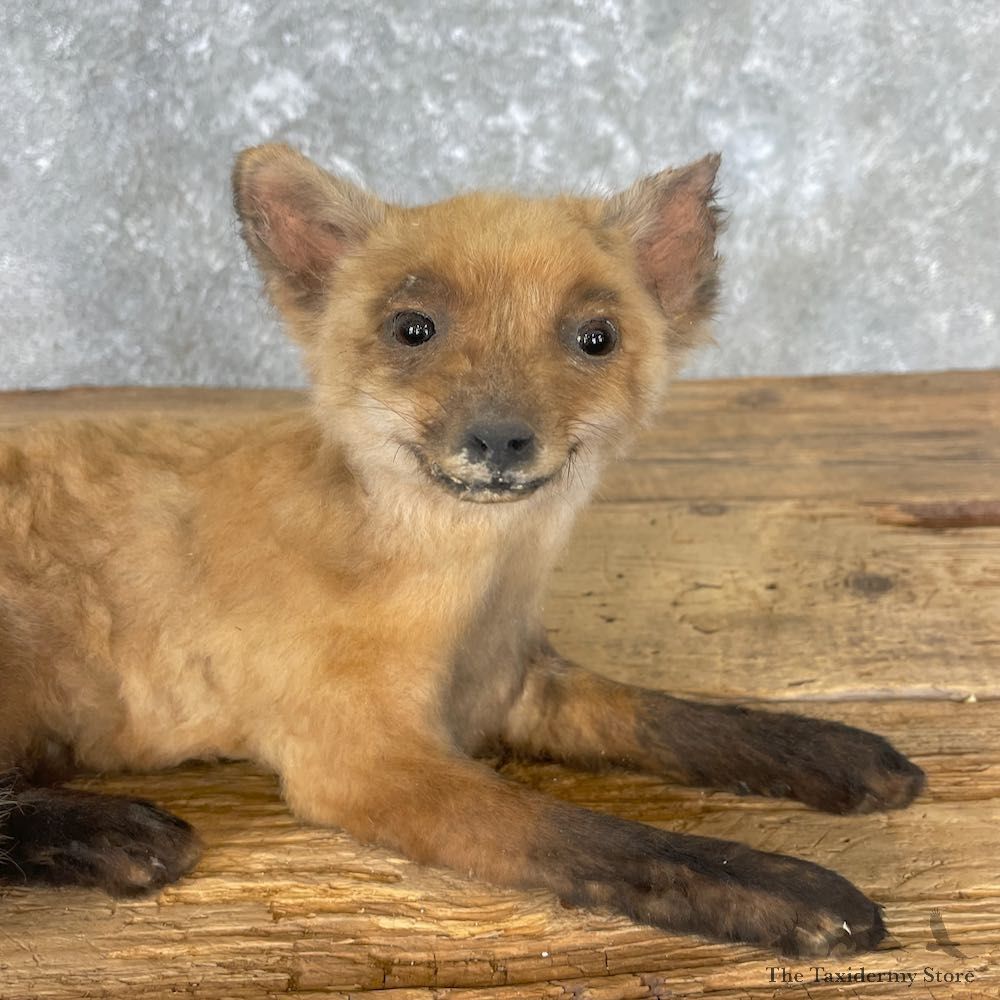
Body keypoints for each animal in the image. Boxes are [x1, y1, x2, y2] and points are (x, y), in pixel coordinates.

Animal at [0, 144, 924, 956]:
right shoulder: (368, 765)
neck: (458, 596)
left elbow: (680, 719)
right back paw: (117, 835)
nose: (500, 440)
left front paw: (836, 753)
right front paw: (793, 891)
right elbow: (602, 837)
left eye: (595, 338)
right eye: (414, 329)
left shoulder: (518, 688)